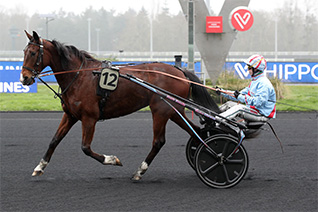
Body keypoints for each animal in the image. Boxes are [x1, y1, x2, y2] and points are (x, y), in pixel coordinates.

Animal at [21, 30, 220, 181]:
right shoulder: (70, 115)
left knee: (159, 141)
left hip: (161, 111)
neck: (80, 76)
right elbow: (54, 140)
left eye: (33, 53)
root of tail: (179, 71)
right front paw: (40, 167)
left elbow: (86, 148)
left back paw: (140, 170)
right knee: (196, 132)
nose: (24, 78)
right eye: (24, 51)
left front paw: (112, 160)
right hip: (174, 111)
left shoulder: (89, 118)